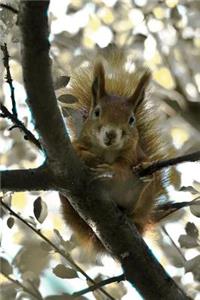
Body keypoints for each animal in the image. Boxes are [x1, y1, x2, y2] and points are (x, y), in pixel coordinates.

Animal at [57, 44, 178, 254]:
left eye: (131, 119)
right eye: (97, 112)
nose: (111, 134)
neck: (106, 150)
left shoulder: (132, 154)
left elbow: (123, 169)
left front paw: (110, 169)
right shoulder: (79, 142)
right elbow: (78, 149)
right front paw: (89, 157)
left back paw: (140, 185)